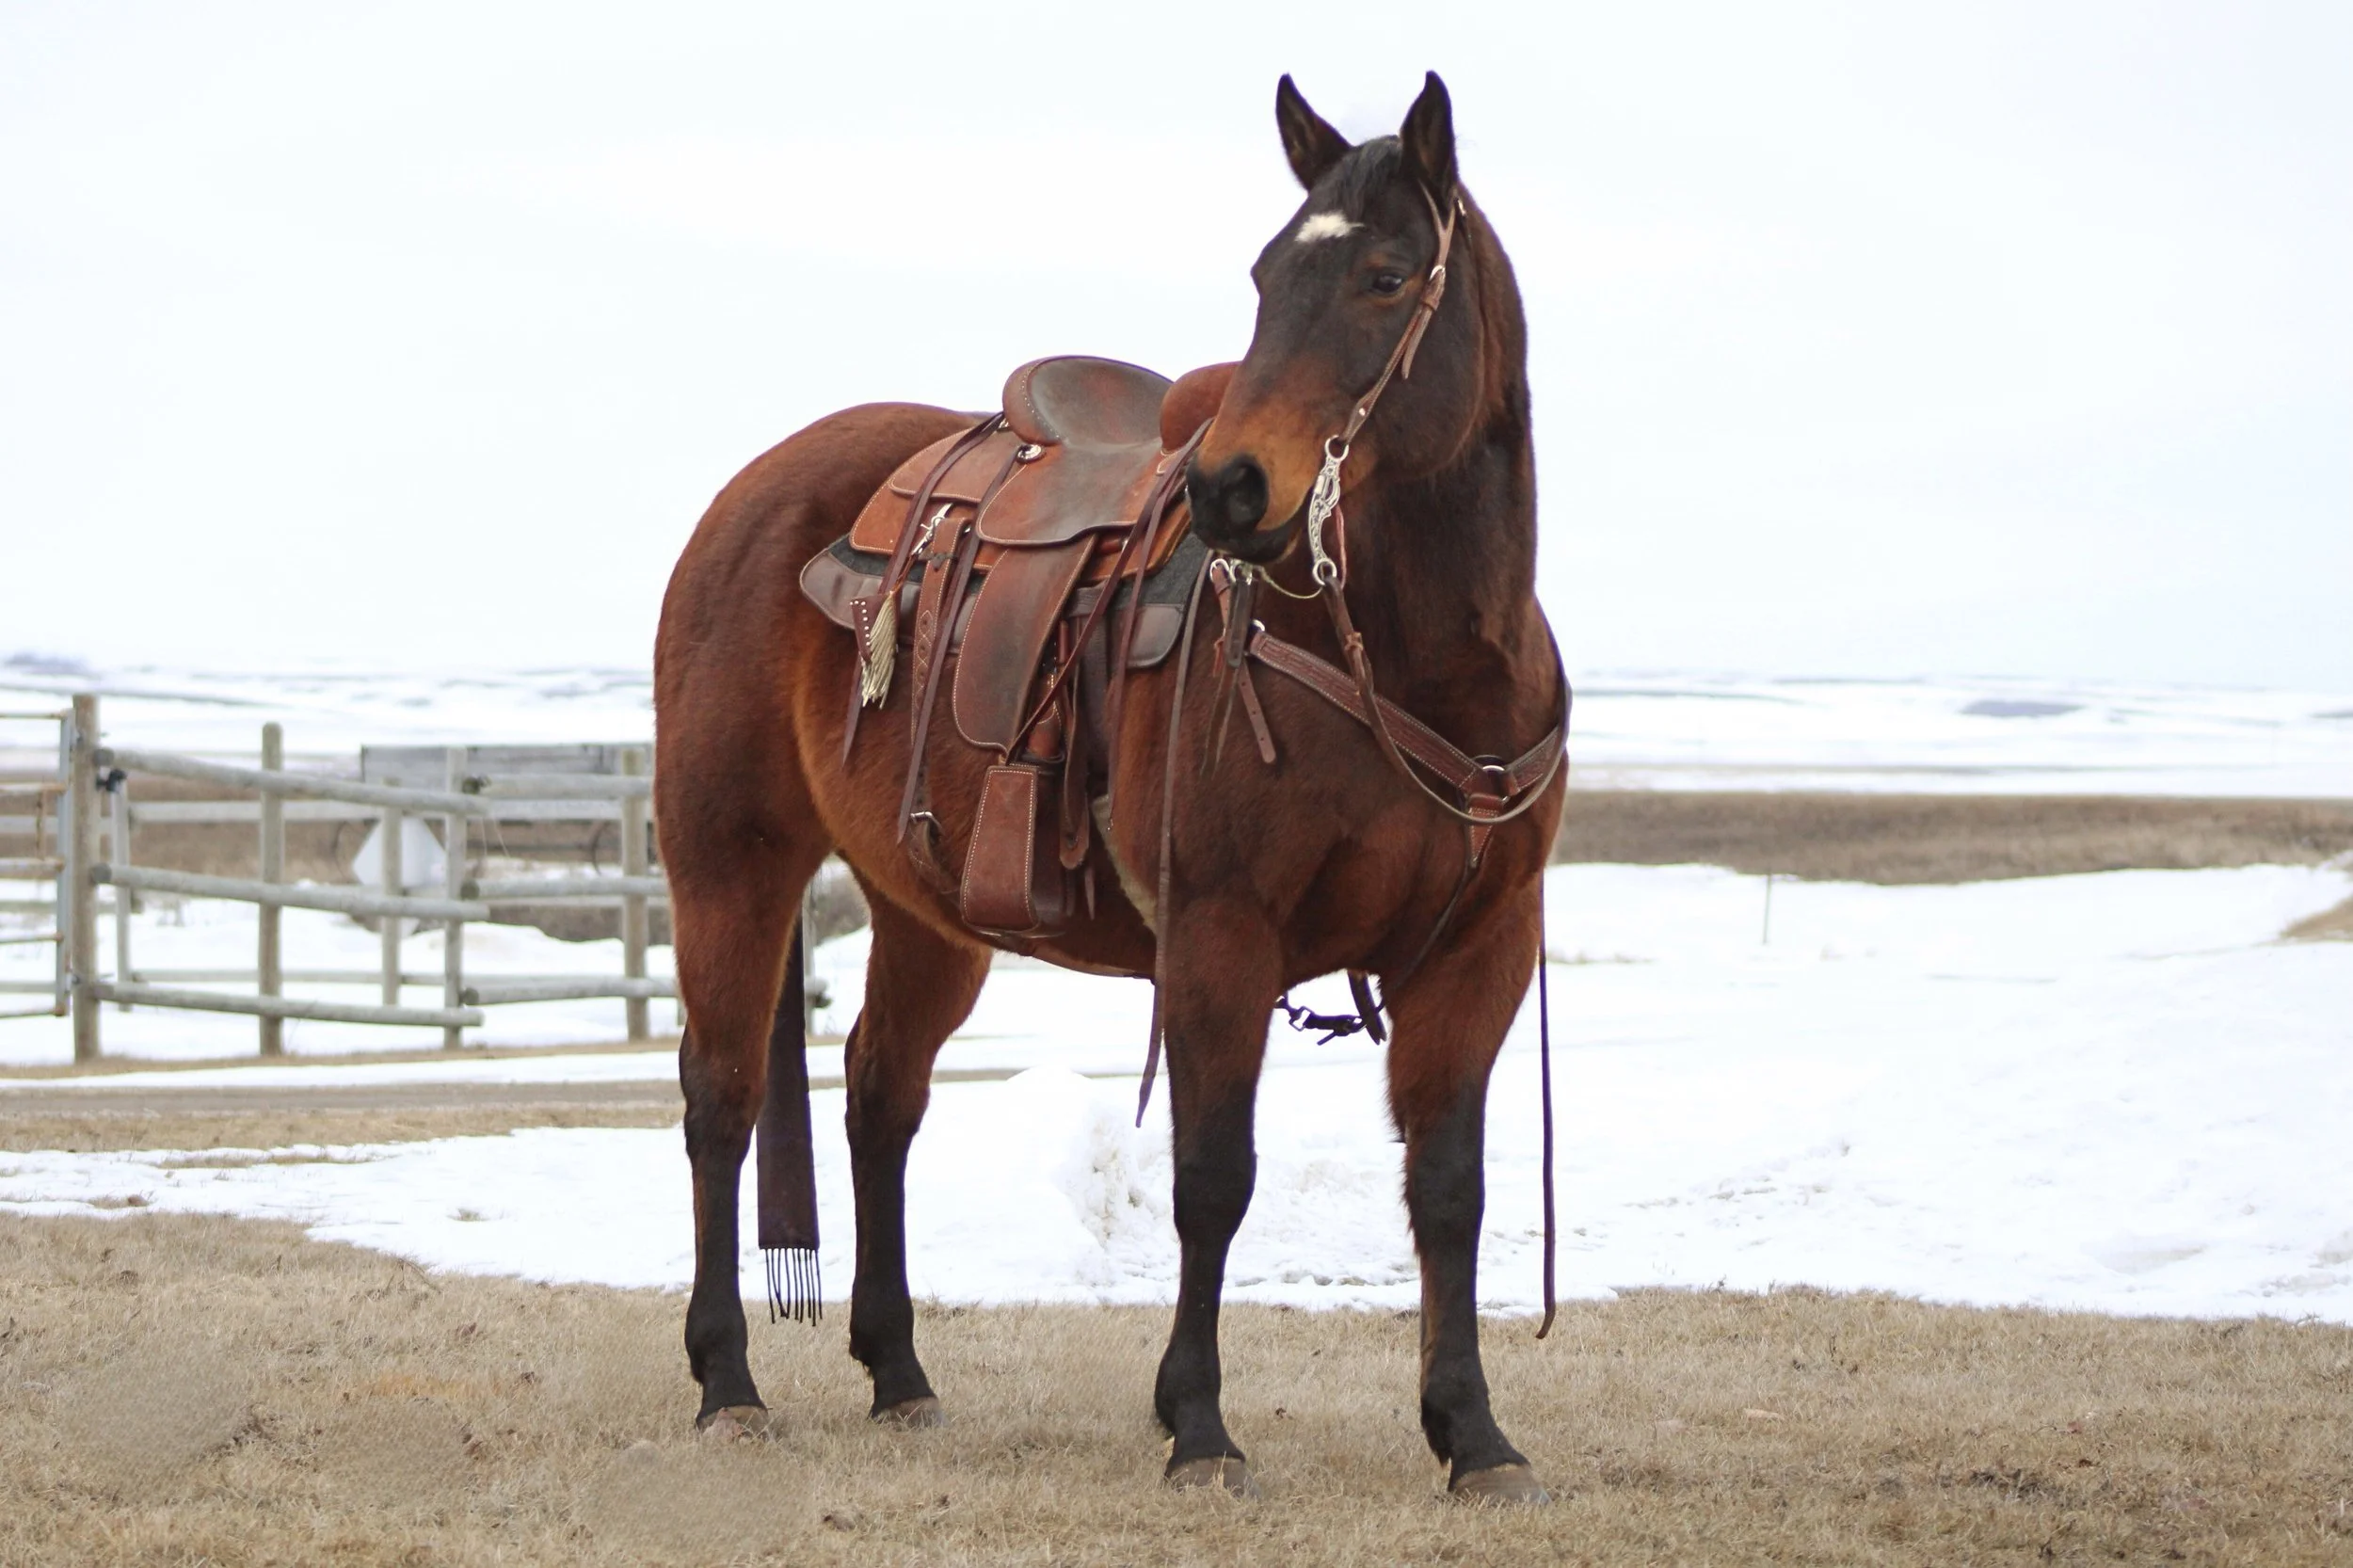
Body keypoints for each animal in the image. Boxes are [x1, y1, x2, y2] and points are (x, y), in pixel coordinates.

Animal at [652, 70, 1568, 1504]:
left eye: (1384, 276)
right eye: (1264, 274)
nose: (1230, 486)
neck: (1419, 662)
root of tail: (755, 490)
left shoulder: (1477, 953)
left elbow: (1450, 1190)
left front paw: (1471, 1433)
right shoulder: (1220, 937)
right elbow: (1210, 1177)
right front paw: (1197, 1425)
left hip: (929, 915)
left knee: (879, 1095)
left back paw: (898, 1372)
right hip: (728, 868)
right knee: (723, 1097)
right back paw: (727, 1381)